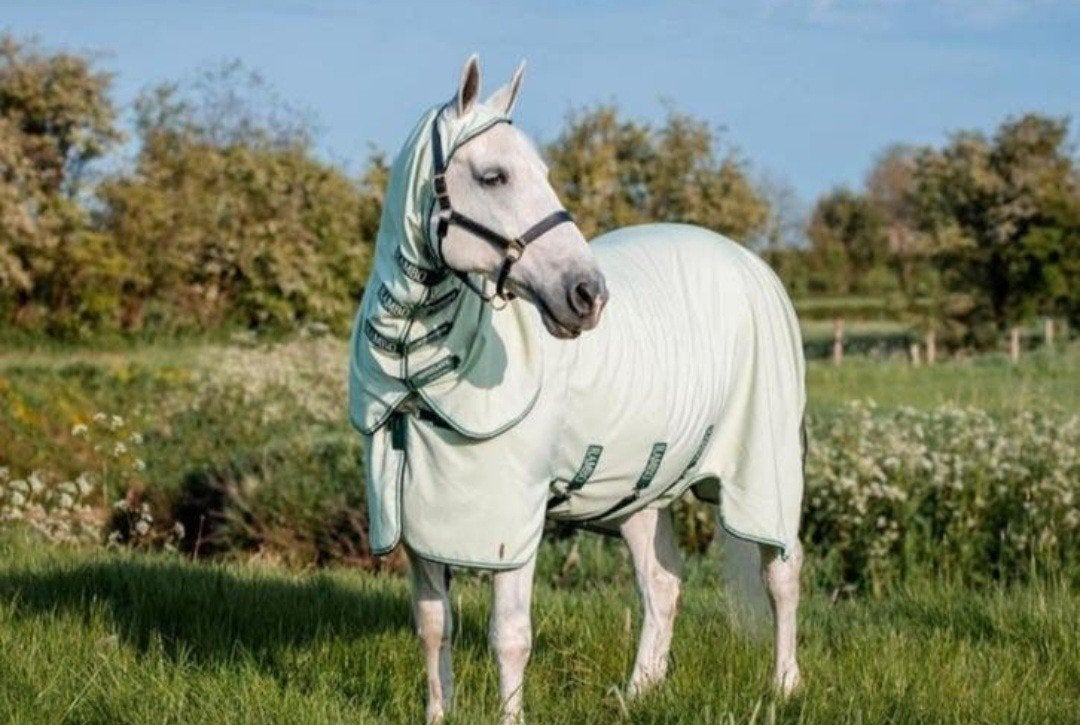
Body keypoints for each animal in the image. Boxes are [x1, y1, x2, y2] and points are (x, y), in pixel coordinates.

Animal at [348, 55, 806, 724]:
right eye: (493, 175)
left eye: (544, 173)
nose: (588, 294)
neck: (418, 365)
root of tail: (751, 264)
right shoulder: (416, 519)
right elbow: (434, 627)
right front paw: (438, 714)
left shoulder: (513, 520)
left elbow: (509, 635)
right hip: (642, 490)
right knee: (662, 584)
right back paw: (640, 692)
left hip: (767, 469)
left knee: (782, 573)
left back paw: (784, 687)